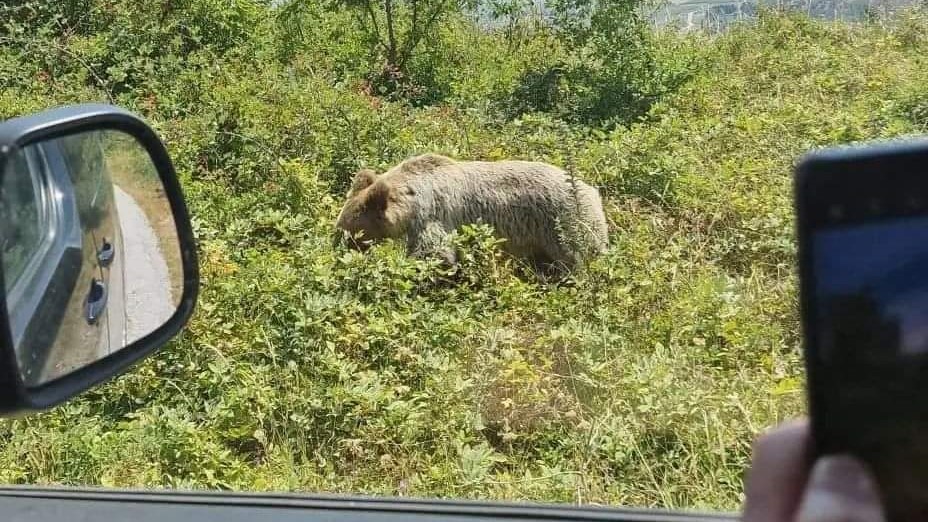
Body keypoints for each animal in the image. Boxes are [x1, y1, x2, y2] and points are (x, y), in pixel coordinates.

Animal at [334, 150, 608, 272]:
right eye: (341, 227)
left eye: (352, 231)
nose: (341, 247)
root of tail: (593, 192)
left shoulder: (433, 214)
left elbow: (435, 253)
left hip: (564, 223)